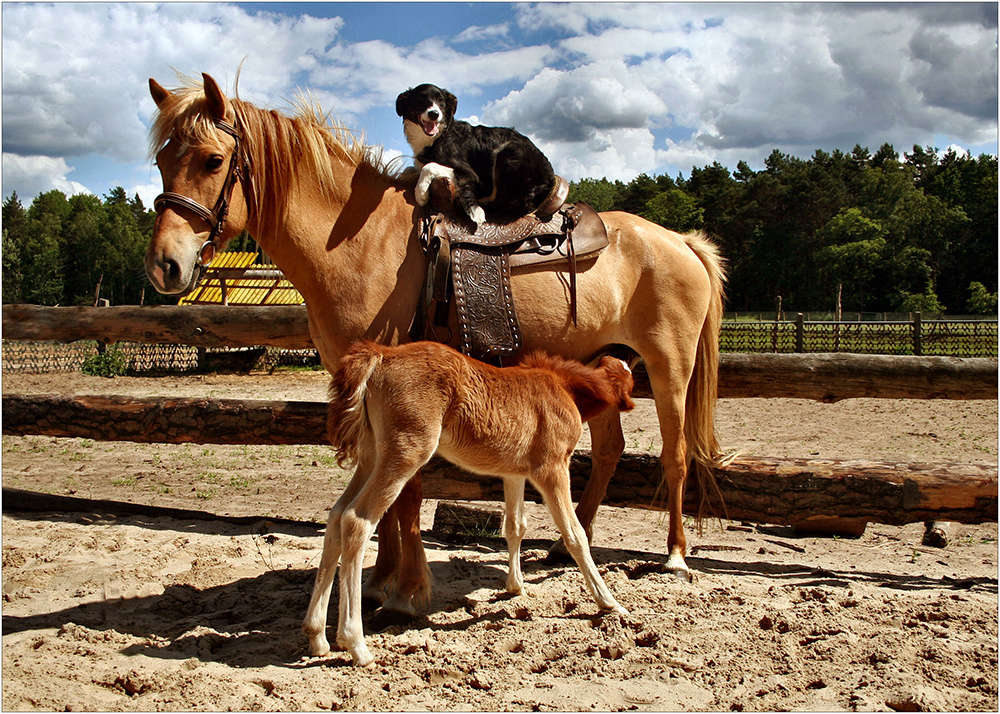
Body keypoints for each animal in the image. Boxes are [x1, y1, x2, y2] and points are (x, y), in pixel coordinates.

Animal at [304, 340, 632, 660]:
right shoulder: (552, 468)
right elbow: (575, 535)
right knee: (356, 520)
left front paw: (516, 587)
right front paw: (609, 602)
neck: (562, 387)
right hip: (406, 453)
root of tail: (381, 355)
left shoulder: (514, 473)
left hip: (372, 454)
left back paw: (317, 635)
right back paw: (356, 643)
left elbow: (515, 527)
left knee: (336, 516)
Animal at [396, 82, 556, 225]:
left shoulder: (470, 174)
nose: (434, 114)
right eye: (421, 99)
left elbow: (429, 166)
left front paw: (421, 192)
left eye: (440, 100)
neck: (437, 137)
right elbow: (410, 169)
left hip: (507, 152)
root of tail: (550, 179)